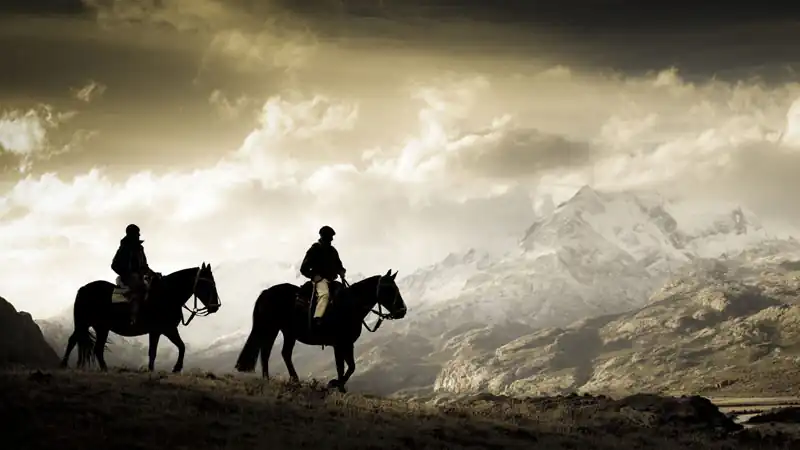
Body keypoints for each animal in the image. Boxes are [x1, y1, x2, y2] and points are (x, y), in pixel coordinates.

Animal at [59, 264, 222, 372]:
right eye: (207, 284)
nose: (215, 307)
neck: (167, 295)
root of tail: (84, 288)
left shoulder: (162, 331)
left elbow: (170, 348)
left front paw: (161, 369)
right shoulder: (164, 330)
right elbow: (164, 350)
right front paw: (173, 368)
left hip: (99, 327)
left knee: (96, 348)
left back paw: (103, 369)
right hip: (85, 323)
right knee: (73, 341)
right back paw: (64, 365)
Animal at [231, 268, 406, 392]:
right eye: (389, 289)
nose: (402, 311)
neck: (349, 305)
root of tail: (266, 292)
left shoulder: (347, 344)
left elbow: (349, 367)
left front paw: (339, 386)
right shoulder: (339, 344)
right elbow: (343, 367)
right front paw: (334, 384)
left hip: (288, 333)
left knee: (284, 353)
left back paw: (294, 381)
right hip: (270, 328)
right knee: (266, 352)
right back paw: (268, 379)